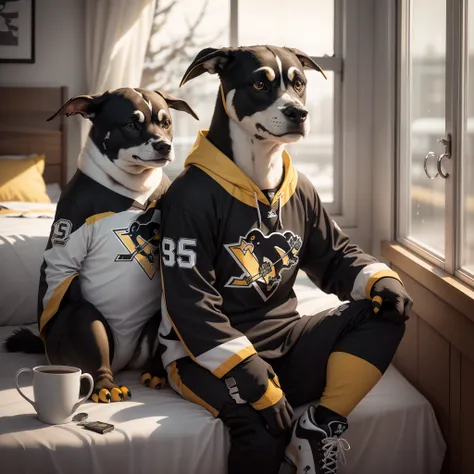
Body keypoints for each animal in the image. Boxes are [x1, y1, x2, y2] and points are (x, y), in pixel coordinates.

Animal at [6, 87, 198, 402]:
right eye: (130, 124)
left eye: (166, 122)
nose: (164, 146)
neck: (133, 187)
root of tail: (124, 361)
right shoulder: (66, 243)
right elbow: (57, 276)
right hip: (85, 322)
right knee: (94, 353)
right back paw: (106, 386)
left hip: (155, 321)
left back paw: (156, 372)